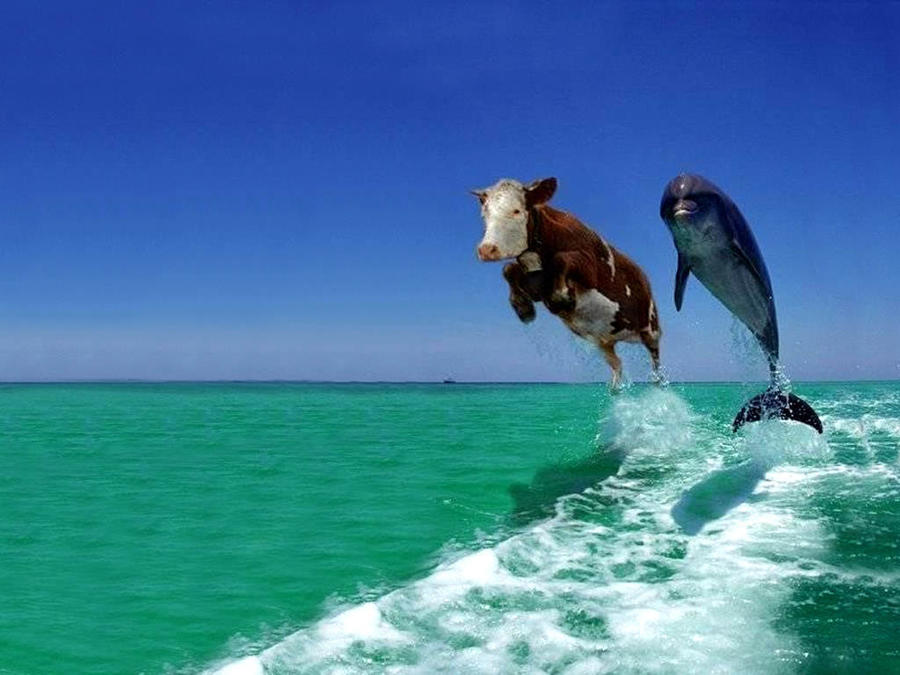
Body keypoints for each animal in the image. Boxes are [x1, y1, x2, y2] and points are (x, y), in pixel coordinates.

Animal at [472, 177, 661, 388]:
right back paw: (615, 388)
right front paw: (523, 308)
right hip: (604, 341)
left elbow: (561, 259)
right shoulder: (536, 286)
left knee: (656, 361)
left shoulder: (590, 268)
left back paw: (658, 382)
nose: (486, 249)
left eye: (516, 210)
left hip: (651, 327)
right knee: (617, 364)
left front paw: (562, 299)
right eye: (484, 214)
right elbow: (508, 269)